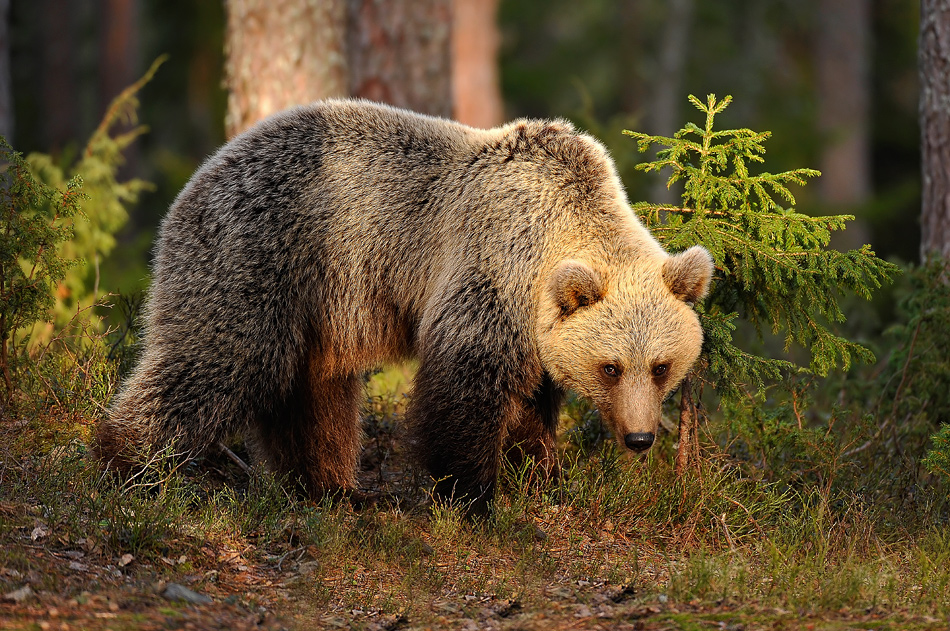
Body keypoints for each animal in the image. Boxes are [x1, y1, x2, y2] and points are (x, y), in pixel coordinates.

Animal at [95, 97, 712, 512]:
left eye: (662, 366)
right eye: (611, 367)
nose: (640, 437)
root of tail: (195, 180)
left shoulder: (536, 328)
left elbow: (533, 401)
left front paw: (542, 477)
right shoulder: (491, 266)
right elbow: (466, 387)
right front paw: (473, 494)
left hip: (315, 304)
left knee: (314, 395)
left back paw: (328, 488)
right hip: (259, 256)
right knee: (221, 359)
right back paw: (129, 463)